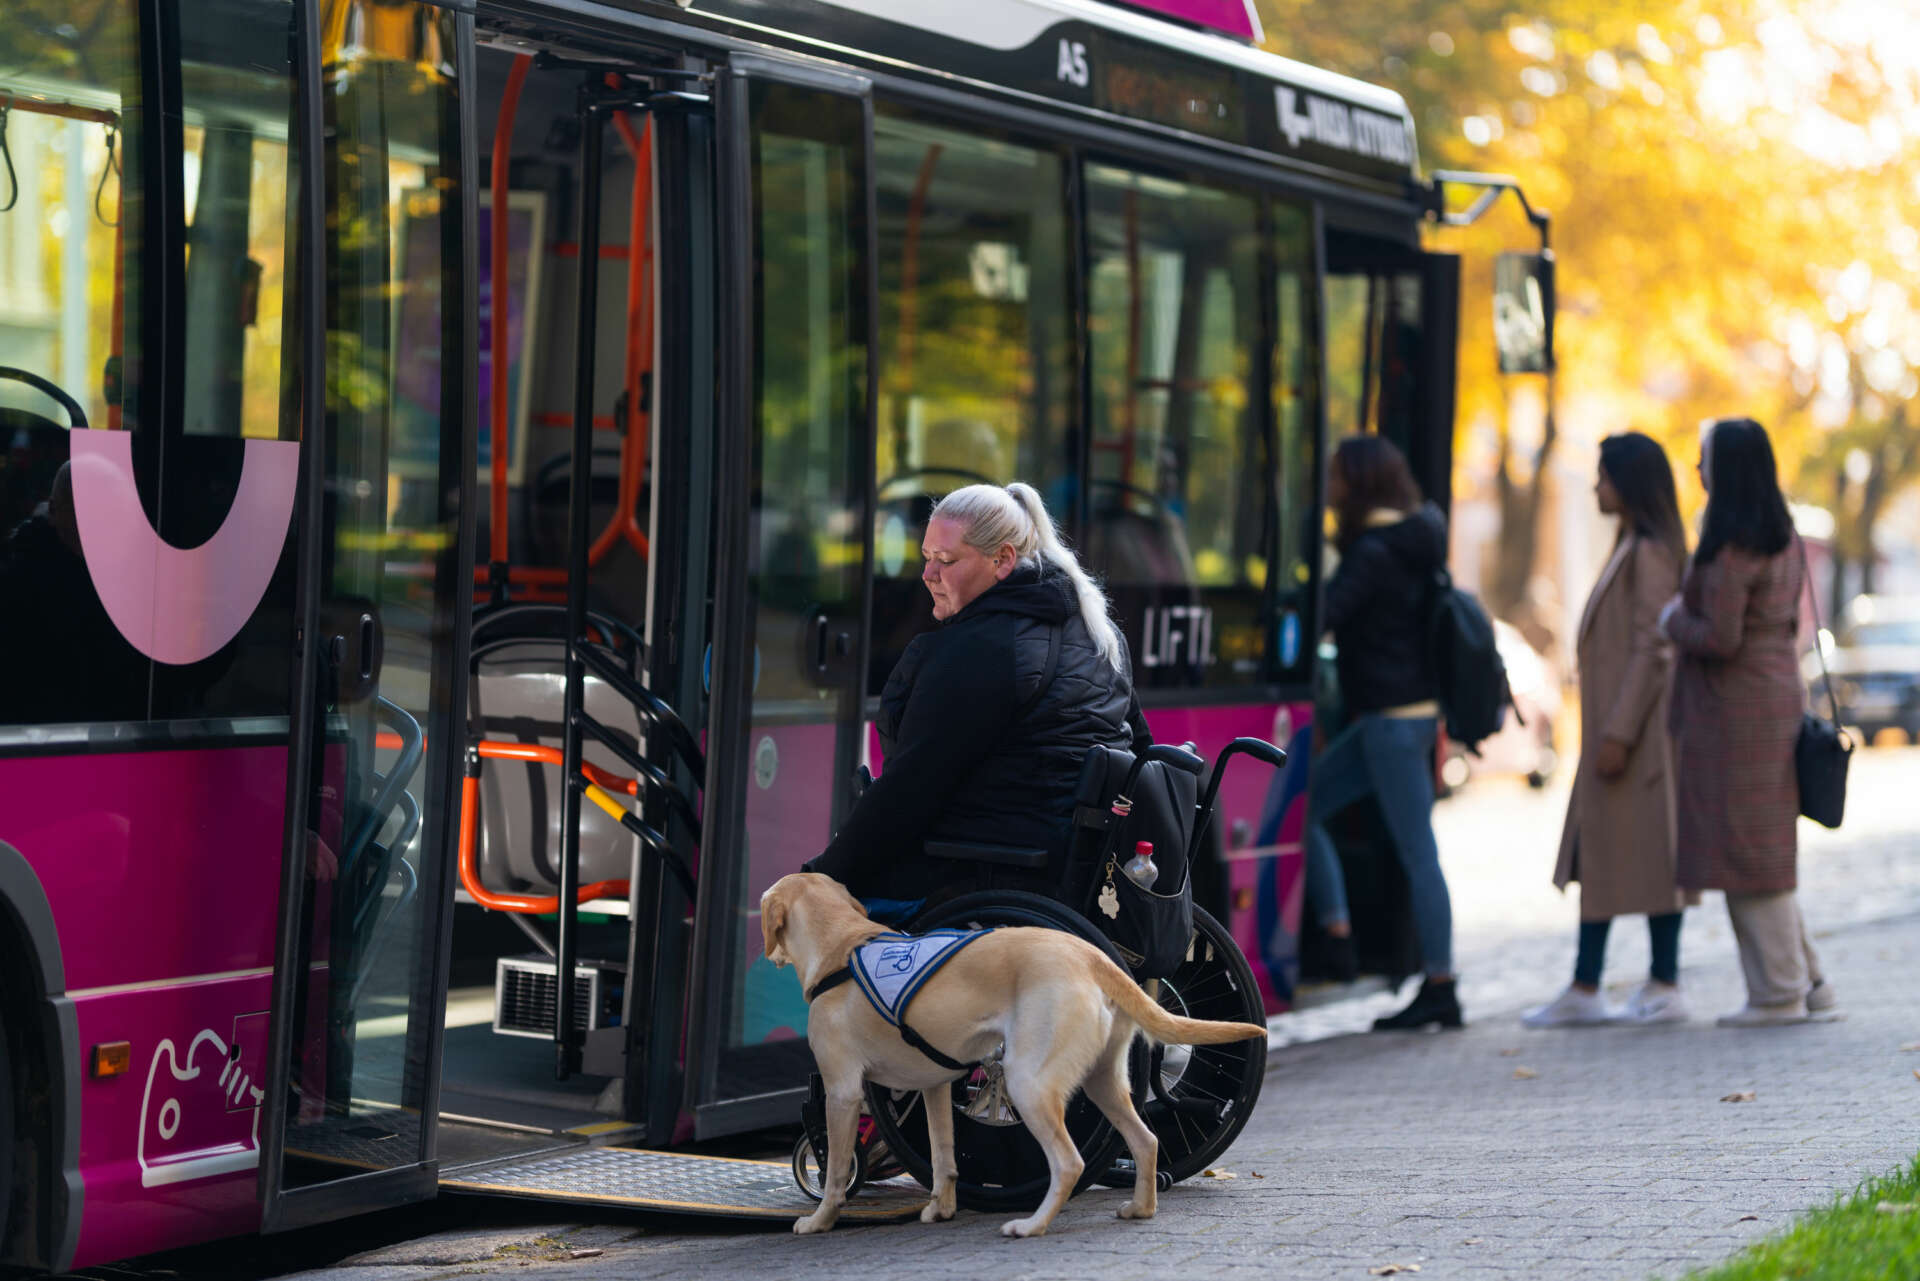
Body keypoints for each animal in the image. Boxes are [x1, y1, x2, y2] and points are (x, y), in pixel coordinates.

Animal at [756, 875, 1267, 1236]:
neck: (843, 946)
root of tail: (1094, 955)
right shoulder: (935, 1087)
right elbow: (943, 1156)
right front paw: (941, 1208)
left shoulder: (841, 1091)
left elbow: (836, 1171)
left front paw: (820, 1220)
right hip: (1104, 1082)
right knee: (1146, 1141)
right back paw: (1140, 1208)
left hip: (1027, 1083)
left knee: (1069, 1163)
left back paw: (1032, 1225)